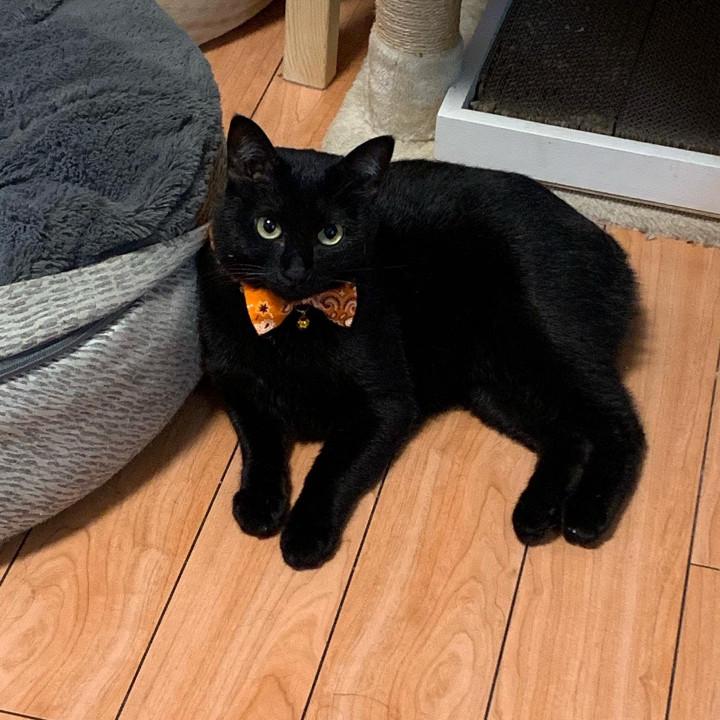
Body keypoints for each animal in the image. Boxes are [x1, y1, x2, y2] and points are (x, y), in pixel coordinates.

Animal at [198, 114, 645, 570]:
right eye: (268, 228)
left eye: (331, 235)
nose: (295, 270)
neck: (297, 317)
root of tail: (614, 251)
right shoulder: (237, 388)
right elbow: (260, 444)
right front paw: (258, 502)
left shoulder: (387, 405)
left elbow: (332, 469)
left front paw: (306, 533)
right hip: (494, 383)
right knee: (568, 436)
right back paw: (537, 514)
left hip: (549, 338)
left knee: (621, 422)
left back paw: (586, 515)